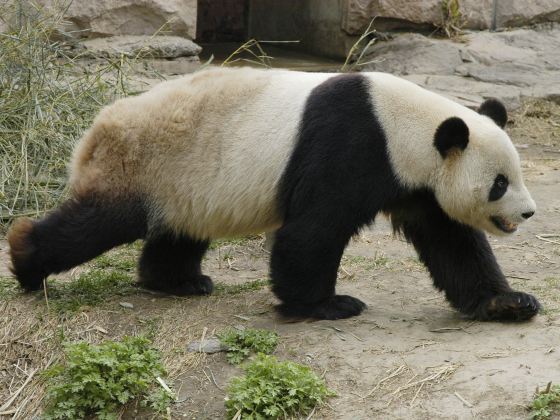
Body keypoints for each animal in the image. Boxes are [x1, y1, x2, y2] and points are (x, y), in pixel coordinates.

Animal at [6, 65, 540, 322]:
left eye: (516, 174)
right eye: (499, 183)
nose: (530, 213)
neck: (405, 125)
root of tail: (95, 128)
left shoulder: (418, 183)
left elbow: (452, 243)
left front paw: (509, 304)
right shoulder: (352, 145)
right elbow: (312, 231)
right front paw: (326, 305)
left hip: (186, 183)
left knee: (179, 231)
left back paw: (179, 281)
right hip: (143, 165)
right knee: (95, 223)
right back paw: (26, 259)